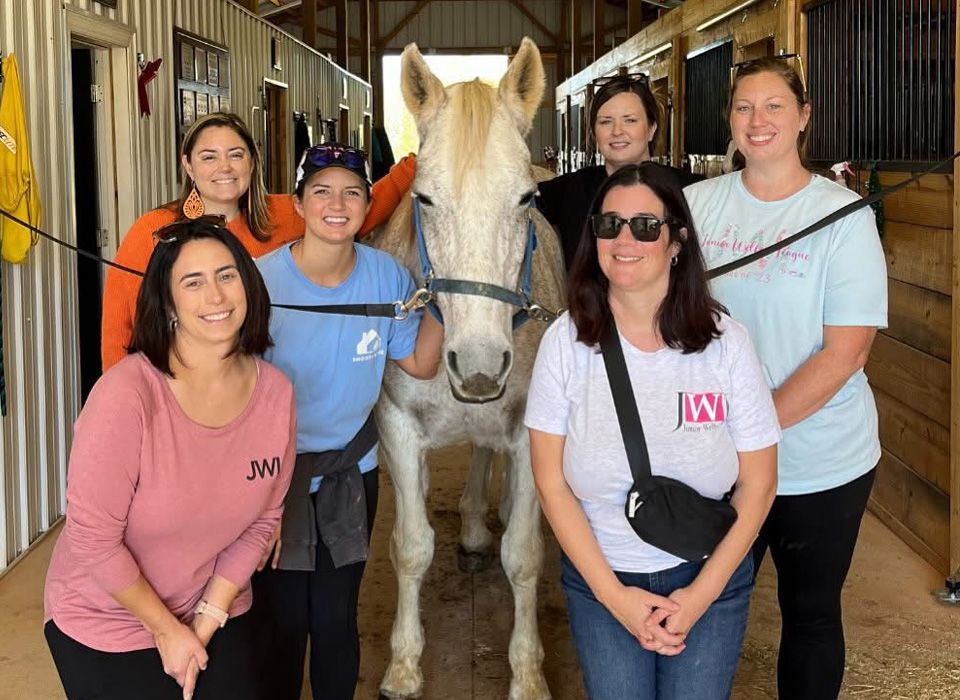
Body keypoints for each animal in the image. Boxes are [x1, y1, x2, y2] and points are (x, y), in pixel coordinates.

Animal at [369, 37, 565, 700]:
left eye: (527, 199)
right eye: (424, 198)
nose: (479, 366)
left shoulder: (530, 430)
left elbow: (524, 555)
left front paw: (528, 673)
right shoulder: (398, 427)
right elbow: (410, 548)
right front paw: (403, 665)